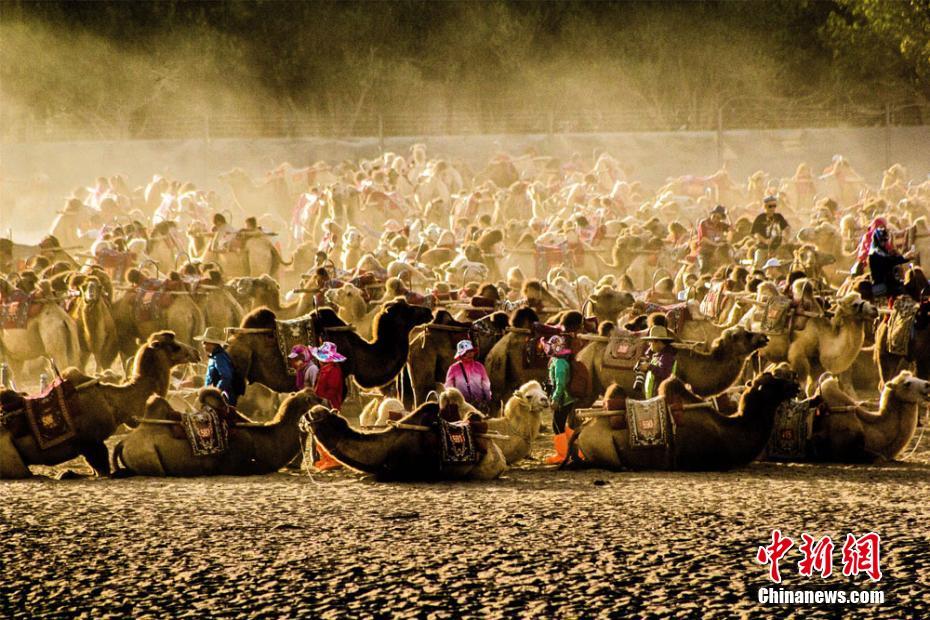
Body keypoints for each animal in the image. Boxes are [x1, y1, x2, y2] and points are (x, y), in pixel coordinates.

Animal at [0, 330, 198, 480]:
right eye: (174, 345)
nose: (195, 352)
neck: (115, 402)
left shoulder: (90, 447)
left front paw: (67, 473)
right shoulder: (92, 443)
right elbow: (102, 470)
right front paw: (66, 473)